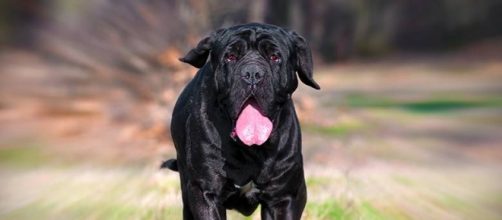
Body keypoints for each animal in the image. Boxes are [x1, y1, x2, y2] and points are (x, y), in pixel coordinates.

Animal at [165, 23, 322, 219]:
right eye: (231, 57)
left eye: (275, 57)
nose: (252, 73)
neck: (251, 151)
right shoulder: (206, 192)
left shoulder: (285, 197)